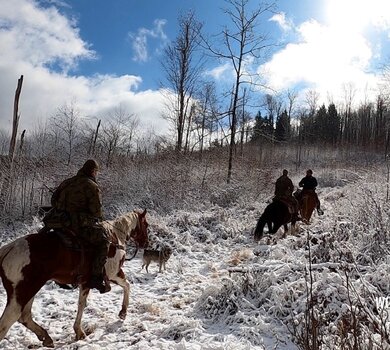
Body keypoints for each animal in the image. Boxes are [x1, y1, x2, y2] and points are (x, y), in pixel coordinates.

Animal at [0, 208, 149, 348]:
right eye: (146, 224)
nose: (146, 243)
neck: (115, 238)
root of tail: (10, 248)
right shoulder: (114, 274)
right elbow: (127, 285)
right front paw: (123, 312)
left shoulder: (85, 282)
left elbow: (81, 304)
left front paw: (78, 331)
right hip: (24, 292)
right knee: (8, 321)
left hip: (28, 291)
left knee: (25, 316)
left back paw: (46, 337)